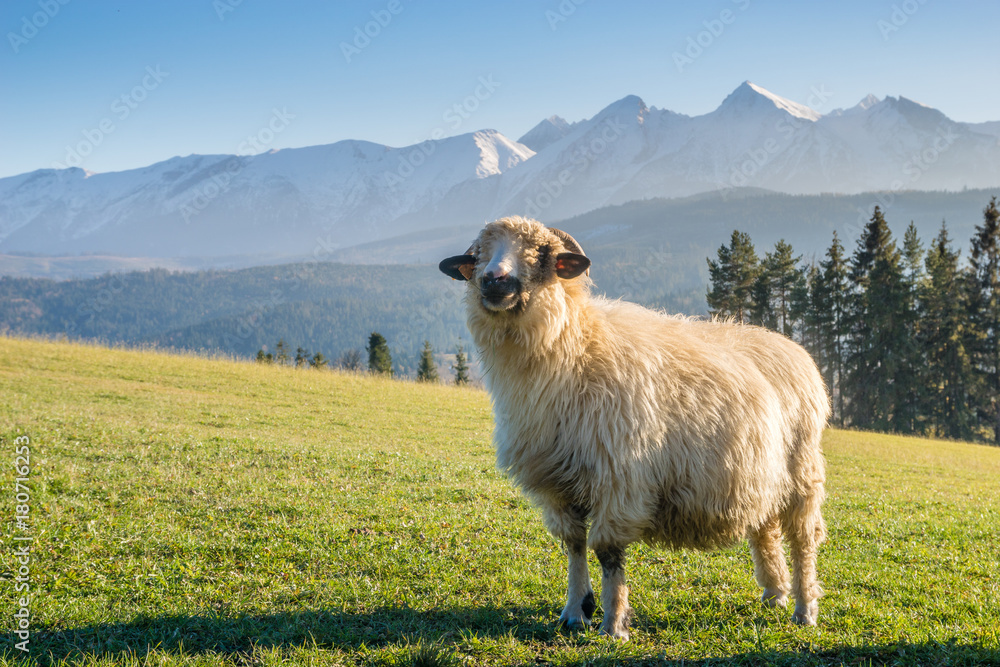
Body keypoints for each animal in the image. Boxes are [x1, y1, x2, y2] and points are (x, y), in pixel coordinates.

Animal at [439, 216, 829, 640]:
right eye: (479, 255)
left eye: (542, 253)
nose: (495, 281)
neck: (575, 351)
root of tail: (792, 347)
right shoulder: (557, 484)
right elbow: (574, 544)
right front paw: (575, 611)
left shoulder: (620, 478)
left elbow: (607, 552)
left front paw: (613, 624)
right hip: (762, 476)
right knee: (765, 528)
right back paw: (775, 593)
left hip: (802, 473)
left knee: (803, 539)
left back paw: (804, 609)